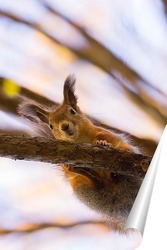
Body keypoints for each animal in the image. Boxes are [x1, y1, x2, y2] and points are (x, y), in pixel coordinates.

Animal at [17, 74, 142, 230]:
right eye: (51, 126)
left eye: (72, 111)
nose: (64, 126)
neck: (79, 138)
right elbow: (66, 166)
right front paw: (71, 166)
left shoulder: (105, 133)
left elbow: (107, 138)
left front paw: (103, 143)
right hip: (82, 187)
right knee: (96, 183)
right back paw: (85, 172)